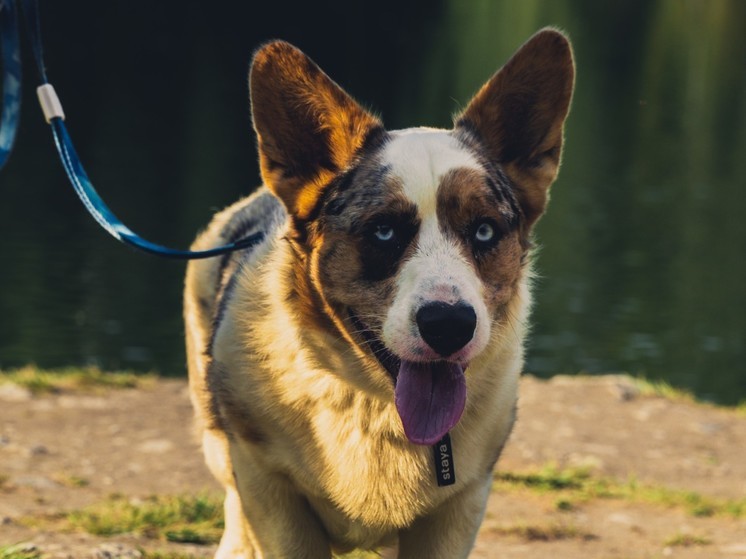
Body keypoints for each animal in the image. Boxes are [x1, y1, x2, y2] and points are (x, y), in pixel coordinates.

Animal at [183, 28, 572, 556]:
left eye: (485, 231)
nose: (449, 324)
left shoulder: (458, 509)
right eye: (384, 232)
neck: (377, 406)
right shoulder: (270, 491)